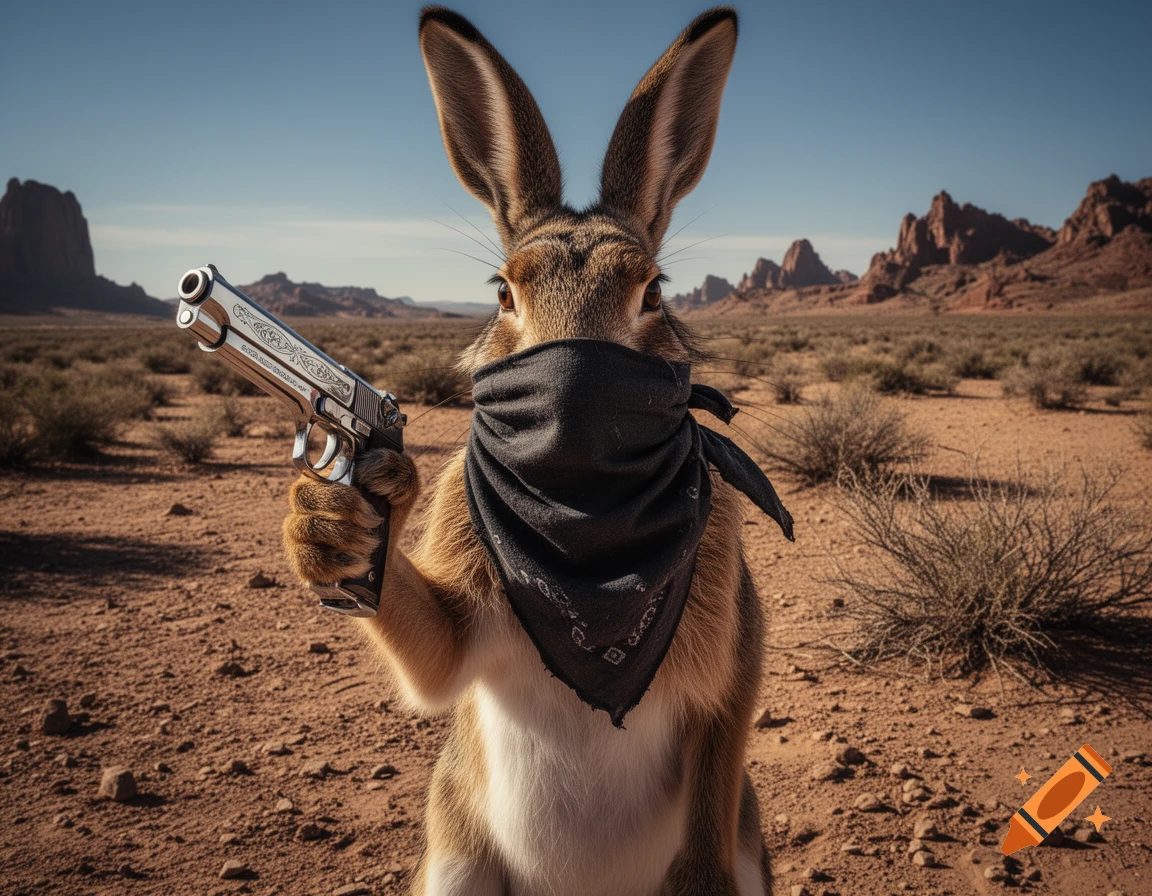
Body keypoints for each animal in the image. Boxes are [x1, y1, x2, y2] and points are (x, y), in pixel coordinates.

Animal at [282, 6, 773, 894]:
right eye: (503, 292)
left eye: (654, 291)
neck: (583, 524)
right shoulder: (464, 625)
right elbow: (431, 660)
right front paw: (326, 522)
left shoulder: (731, 674)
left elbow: (715, 789)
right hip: (458, 863)